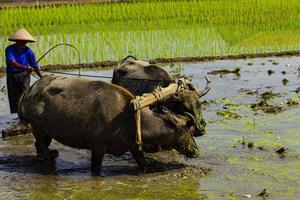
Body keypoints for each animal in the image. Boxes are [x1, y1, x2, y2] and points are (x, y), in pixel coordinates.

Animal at [19, 75, 202, 175]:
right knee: (41, 145)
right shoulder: (97, 148)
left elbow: (143, 162)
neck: (127, 116)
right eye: (186, 130)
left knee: (39, 145)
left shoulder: (134, 146)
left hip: (45, 131)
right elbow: (95, 169)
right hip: (37, 127)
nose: (196, 150)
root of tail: (30, 91)